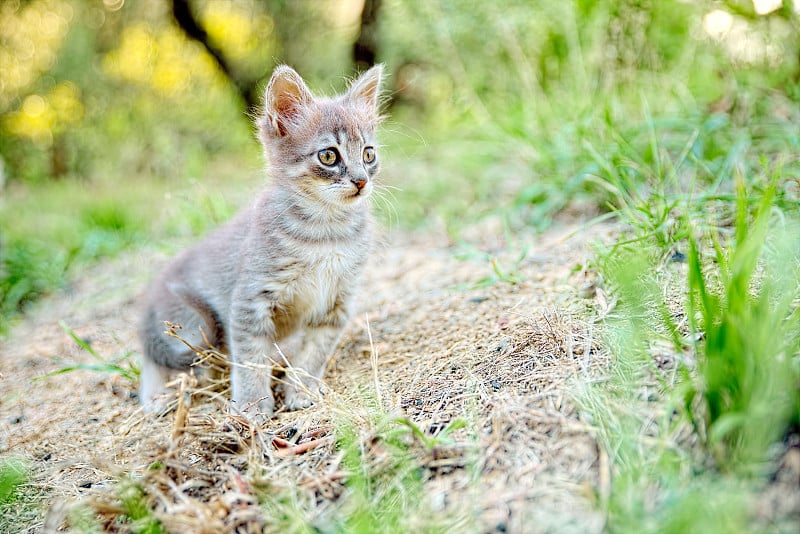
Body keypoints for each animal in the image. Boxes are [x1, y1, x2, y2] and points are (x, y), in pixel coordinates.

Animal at [138, 63, 384, 422]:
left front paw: (301, 390)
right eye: (328, 156)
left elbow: (313, 354)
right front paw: (253, 405)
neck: (325, 232)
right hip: (193, 324)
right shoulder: (250, 300)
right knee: (155, 362)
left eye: (368, 154)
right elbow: (252, 359)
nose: (361, 181)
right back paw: (159, 396)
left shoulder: (337, 303)